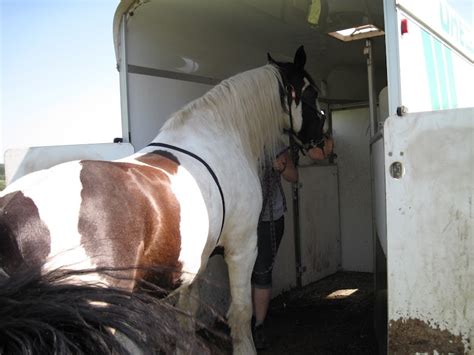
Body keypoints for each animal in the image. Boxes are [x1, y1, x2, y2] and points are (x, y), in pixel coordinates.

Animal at [0, 46, 328, 354]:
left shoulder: (197, 261)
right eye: (311, 92)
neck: (220, 135)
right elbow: (241, 311)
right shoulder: (242, 246)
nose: (323, 142)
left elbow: (186, 315)